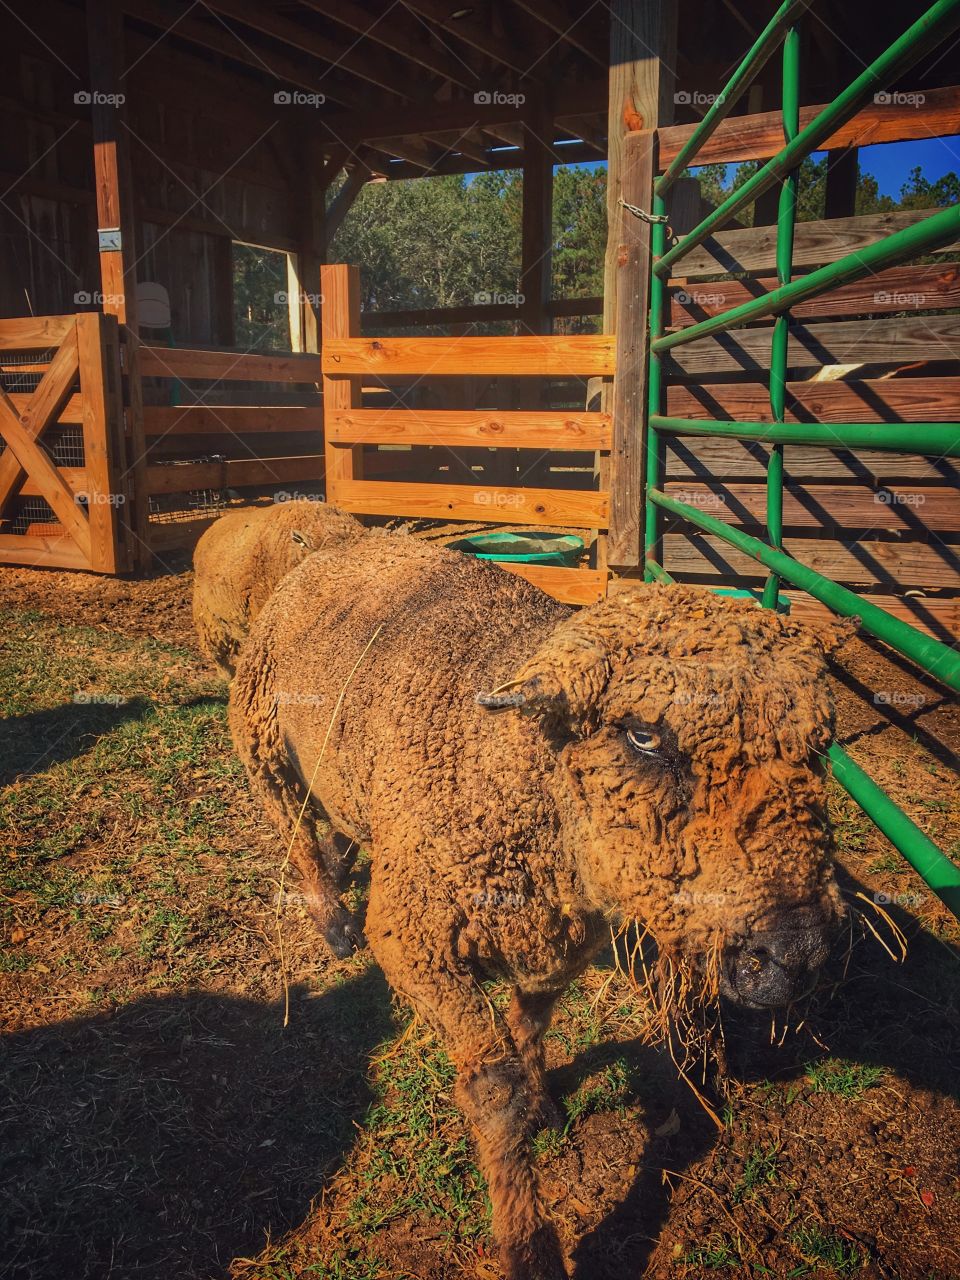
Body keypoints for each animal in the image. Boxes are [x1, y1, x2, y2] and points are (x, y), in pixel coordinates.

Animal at [228, 532, 851, 1280]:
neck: (510, 770)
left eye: (823, 742)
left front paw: (544, 1106)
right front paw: (528, 1244)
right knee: (291, 825)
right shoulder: (415, 942)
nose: (798, 952)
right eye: (643, 736)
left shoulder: (556, 944)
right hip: (260, 735)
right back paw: (332, 920)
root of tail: (343, 541)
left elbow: (529, 1031)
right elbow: (493, 1086)